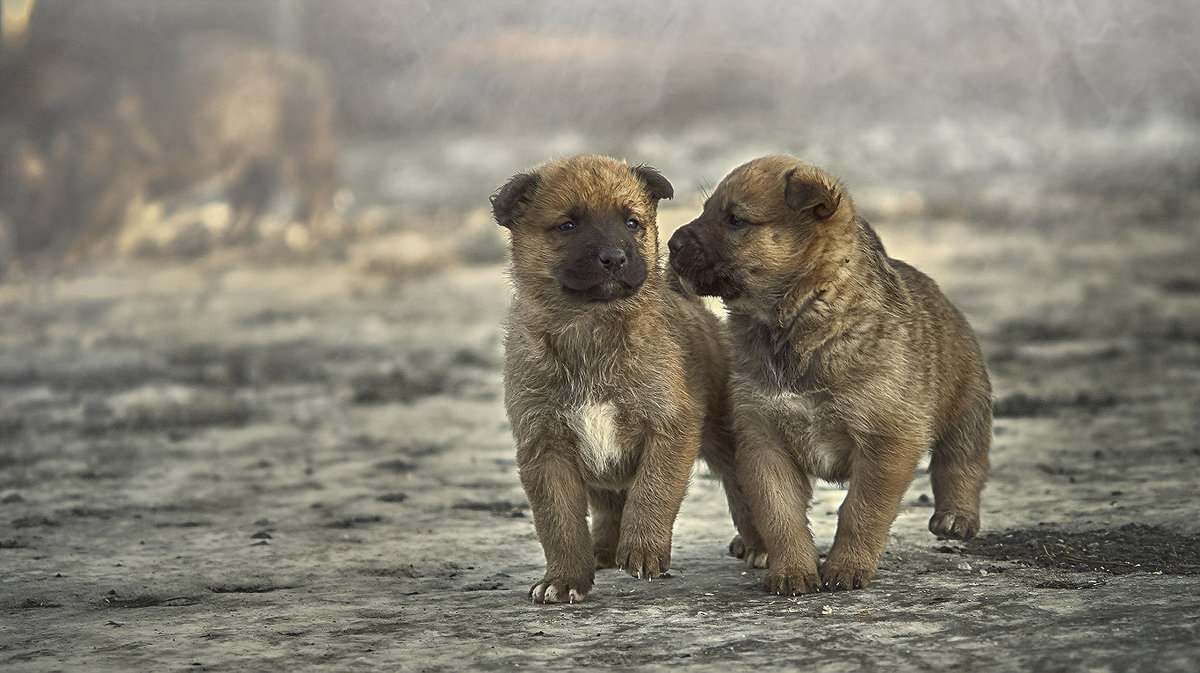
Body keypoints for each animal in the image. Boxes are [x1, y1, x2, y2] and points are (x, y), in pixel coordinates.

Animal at [489, 155, 758, 604]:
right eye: (568, 225)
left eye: (632, 222)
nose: (614, 257)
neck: (591, 326)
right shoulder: (544, 445)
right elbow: (559, 524)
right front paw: (564, 579)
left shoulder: (670, 425)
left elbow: (653, 491)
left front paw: (643, 552)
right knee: (608, 504)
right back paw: (602, 550)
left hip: (726, 436)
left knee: (744, 490)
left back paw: (759, 547)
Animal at [667, 153, 993, 592]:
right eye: (705, 210)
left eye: (735, 219)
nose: (671, 243)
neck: (796, 323)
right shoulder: (762, 441)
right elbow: (778, 514)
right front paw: (792, 570)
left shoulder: (887, 441)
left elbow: (861, 510)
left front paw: (846, 566)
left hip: (967, 403)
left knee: (961, 460)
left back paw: (956, 516)